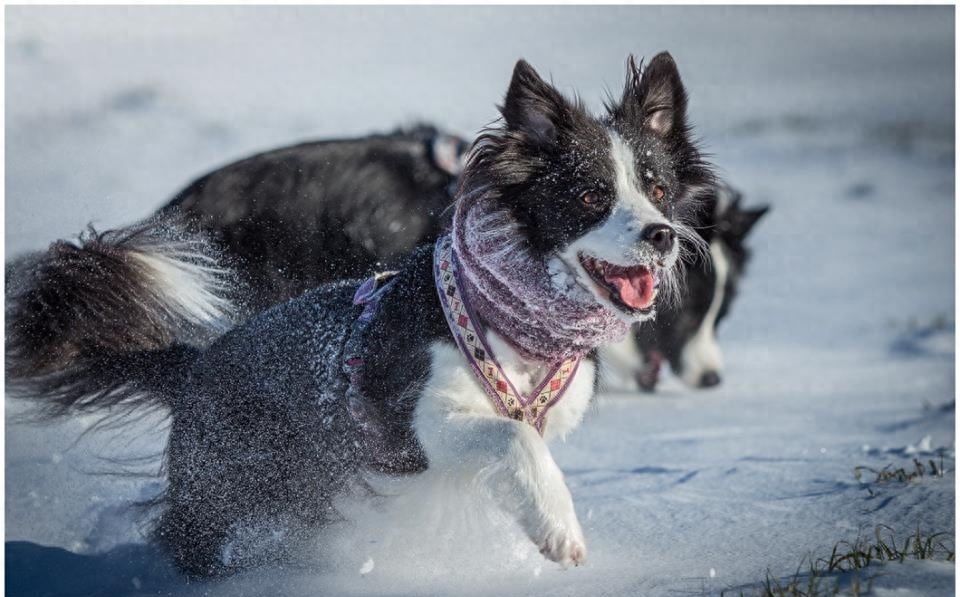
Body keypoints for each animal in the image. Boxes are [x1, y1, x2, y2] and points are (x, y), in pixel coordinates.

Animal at [9, 53, 712, 576]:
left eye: (657, 190)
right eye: (592, 195)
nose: (661, 235)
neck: (516, 321)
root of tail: (195, 367)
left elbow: (525, 442)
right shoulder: (405, 428)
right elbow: (512, 436)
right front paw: (559, 530)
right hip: (228, 484)